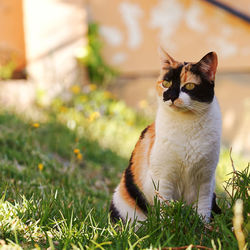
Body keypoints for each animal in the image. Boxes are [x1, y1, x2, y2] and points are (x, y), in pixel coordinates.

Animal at [110, 47, 222, 224]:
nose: (171, 96)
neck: (187, 125)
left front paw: (203, 227)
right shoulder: (163, 179)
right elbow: (165, 208)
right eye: (166, 83)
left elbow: (203, 209)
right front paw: (167, 226)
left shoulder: (205, 180)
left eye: (190, 86)